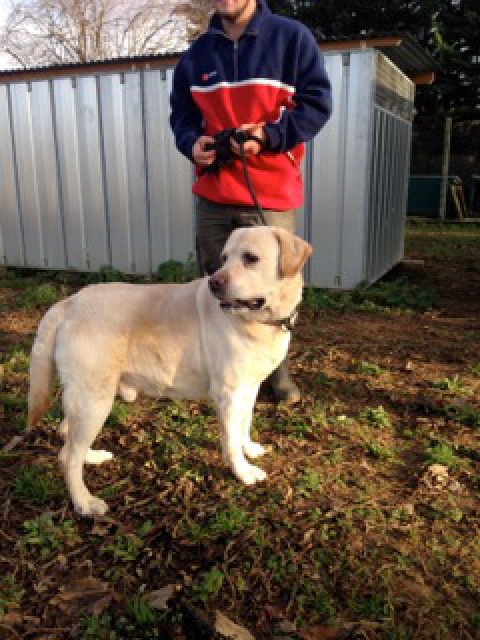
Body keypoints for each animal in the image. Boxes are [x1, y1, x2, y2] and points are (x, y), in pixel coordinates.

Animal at [27, 228, 312, 516]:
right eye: (224, 258)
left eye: (251, 258)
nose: (214, 284)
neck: (262, 323)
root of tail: (68, 303)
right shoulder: (228, 394)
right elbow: (231, 440)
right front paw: (243, 472)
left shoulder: (249, 387)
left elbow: (245, 423)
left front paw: (249, 449)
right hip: (94, 399)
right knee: (68, 455)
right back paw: (84, 502)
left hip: (89, 397)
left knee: (67, 433)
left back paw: (92, 457)